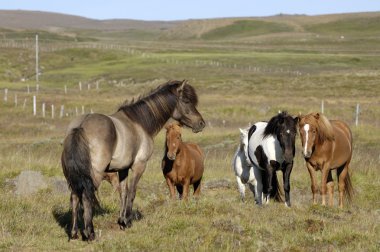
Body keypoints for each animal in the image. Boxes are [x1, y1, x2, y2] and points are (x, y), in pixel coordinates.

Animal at [61, 80, 205, 240]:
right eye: (186, 101)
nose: (201, 123)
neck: (140, 123)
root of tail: (80, 126)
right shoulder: (139, 166)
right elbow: (132, 192)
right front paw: (127, 221)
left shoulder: (122, 169)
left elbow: (123, 193)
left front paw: (121, 220)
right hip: (94, 175)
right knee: (86, 196)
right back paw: (90, 233)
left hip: (73, 176)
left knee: (74, 197)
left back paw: (74, 233)